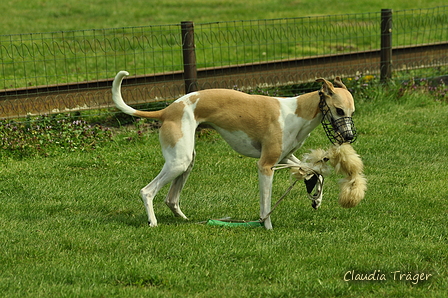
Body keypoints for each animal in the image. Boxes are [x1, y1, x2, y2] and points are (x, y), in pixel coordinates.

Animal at [110, 71, 356, 229]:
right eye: (339, 110)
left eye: (352, 112)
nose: (349, 137)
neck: (298, 112)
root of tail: (166, 110)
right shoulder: (265, 165)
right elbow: (266, 203)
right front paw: (266, 226)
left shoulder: (286, 156)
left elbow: (317, 171)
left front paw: (316, 198)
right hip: (178, 161)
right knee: (147, 191)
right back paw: (152, 222)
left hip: (186, 161)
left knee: (172, 198)